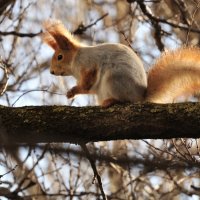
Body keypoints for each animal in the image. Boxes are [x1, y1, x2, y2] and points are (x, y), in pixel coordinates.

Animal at [41, 20, 200, 107]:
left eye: (60, 57)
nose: (51, 71)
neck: (75, 59)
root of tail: (139, 98)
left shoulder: (89, 65)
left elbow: (87, 84)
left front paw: (74, 90)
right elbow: (89, 89)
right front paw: (70, 93)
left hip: (114, 79)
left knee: (124, 100)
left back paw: (111, 101)